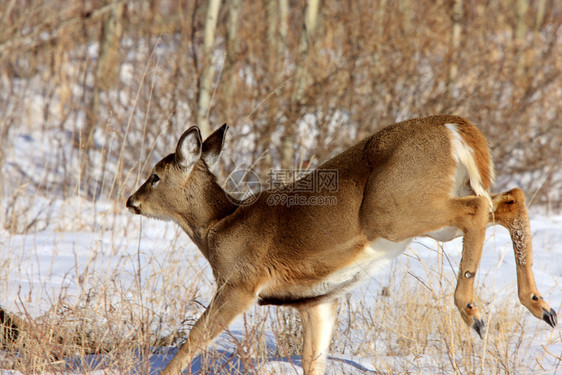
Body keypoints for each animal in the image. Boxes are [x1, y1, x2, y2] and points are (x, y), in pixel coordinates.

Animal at [126, 115, 556, 375]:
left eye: (155, 176)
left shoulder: (240, 284)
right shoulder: (318, 301)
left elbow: (193, 340)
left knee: (479, 207)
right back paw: (542, 307)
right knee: (509, 199)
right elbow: (313, 361)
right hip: (430, 216)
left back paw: (473, 311)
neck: (220, 226)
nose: (132, 201)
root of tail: (453, 126)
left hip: (394, 210)